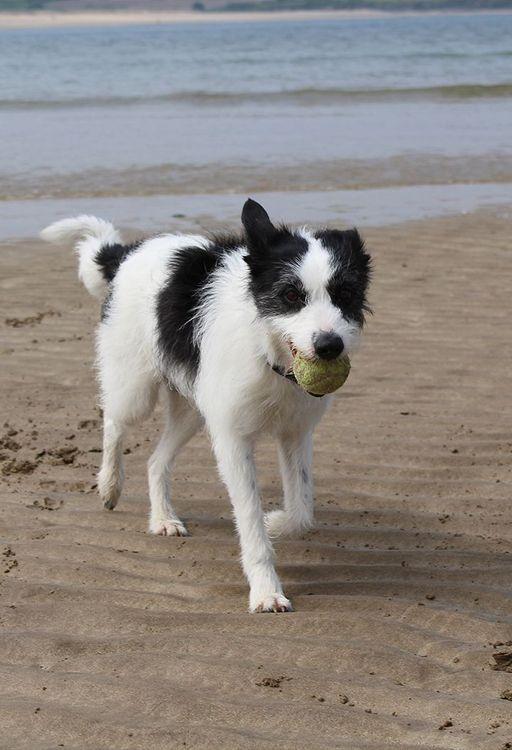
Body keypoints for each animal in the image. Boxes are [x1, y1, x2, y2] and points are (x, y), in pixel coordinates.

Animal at [42, 201, 370, 616]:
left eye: (345, 293)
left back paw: (162, 518)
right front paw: (266, 590)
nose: (329, 346)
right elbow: (249, 518)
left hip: (193, 411)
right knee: (114, 422)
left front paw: (276, 522)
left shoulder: (295, 433)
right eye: (291, 295)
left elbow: (302, 511)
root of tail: (130, 251)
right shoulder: (233, 441)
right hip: (136, 387)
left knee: (155, 460)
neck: (268, 352)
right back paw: (109, 485)